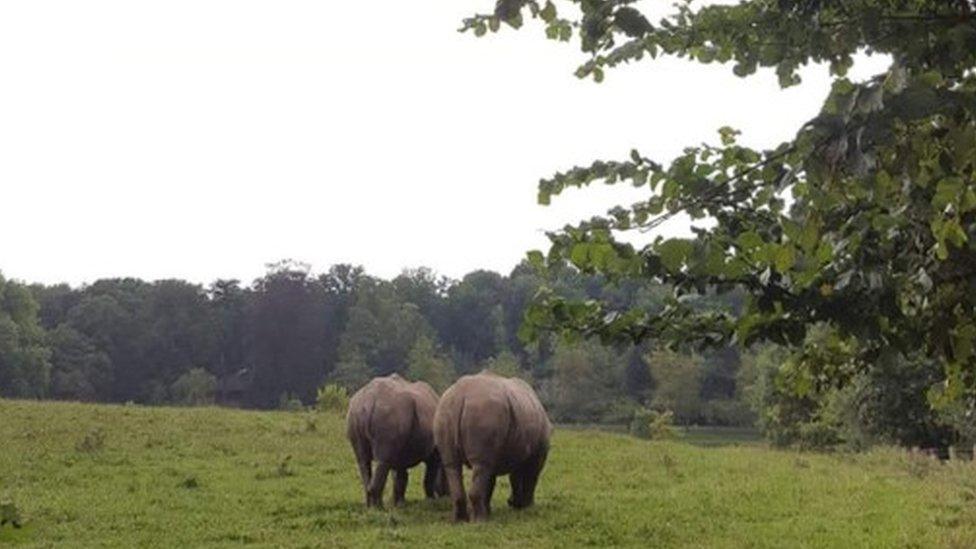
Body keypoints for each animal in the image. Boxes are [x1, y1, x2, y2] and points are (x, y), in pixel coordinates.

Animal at [346, 372, 444, 506]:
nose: (446, 495)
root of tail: (369, 401)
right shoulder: (434, 451)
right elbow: (429, 477)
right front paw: (431, 501)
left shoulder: (400, 448)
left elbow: (400, 475)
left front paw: (398, 503)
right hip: (388, 414)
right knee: (382, 461)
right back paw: (378, 507)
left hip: (356, 412)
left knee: (364, 460)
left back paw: (371, 506)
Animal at [432, 370, 548, 520]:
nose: (510, 502)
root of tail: (460, 395)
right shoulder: (537, 453)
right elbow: (530, 477)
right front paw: (527, 507)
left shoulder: (497, 451)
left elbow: (493, 481)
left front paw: (493, 509)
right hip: (484, 411)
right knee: (480, 466)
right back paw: (480, 520)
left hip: (445, 411)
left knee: (454, 465)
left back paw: (460, 520)